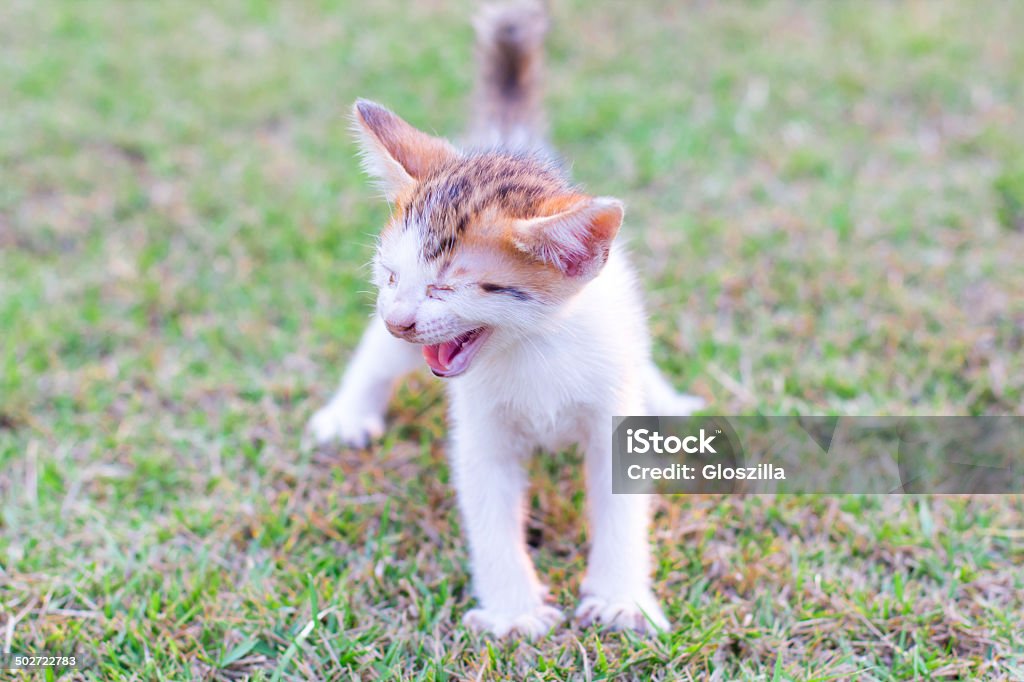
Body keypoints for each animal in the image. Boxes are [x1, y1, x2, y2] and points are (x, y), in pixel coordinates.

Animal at [305, 1, 704, 638]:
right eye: (390, 275)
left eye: (447, 287)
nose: (399, 319)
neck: (534, 349)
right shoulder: (480, 431)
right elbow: (489, 512)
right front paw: (515, 612)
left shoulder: (610, 406)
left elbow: (620, 504)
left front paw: (620, 598)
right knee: (377, 358)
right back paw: (350, 412)